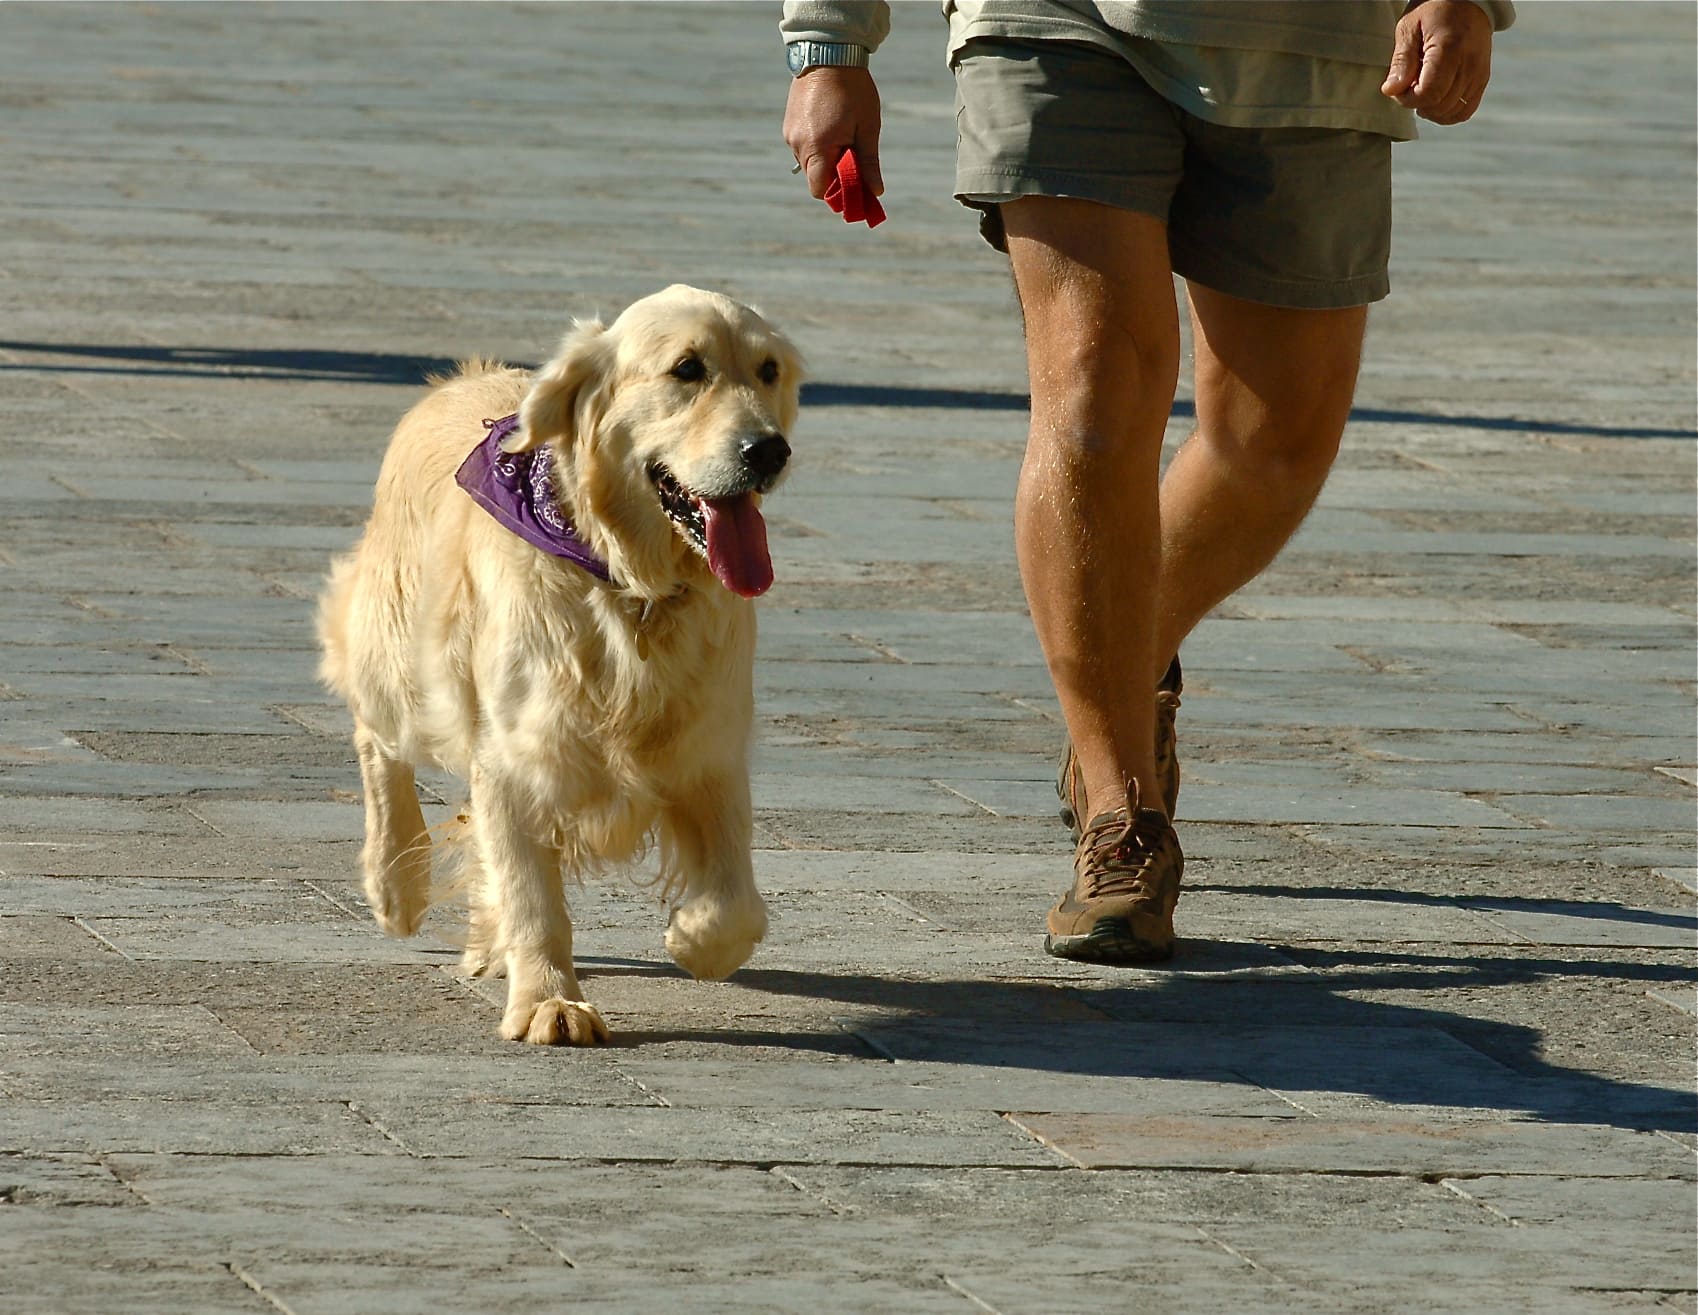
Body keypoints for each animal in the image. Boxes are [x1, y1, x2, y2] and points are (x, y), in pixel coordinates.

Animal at [317, 288, 801, 1053]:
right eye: (687, 369)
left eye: (769, 369)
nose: (769, 449)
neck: (630, 587)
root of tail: (462, 378)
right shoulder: (518, 756)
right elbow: (533, 896)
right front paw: (549, 1001)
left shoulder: (708, 750)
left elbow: (736, 907)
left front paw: (691, 938)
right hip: (396, 660)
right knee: (378, 743)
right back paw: (397, 884)